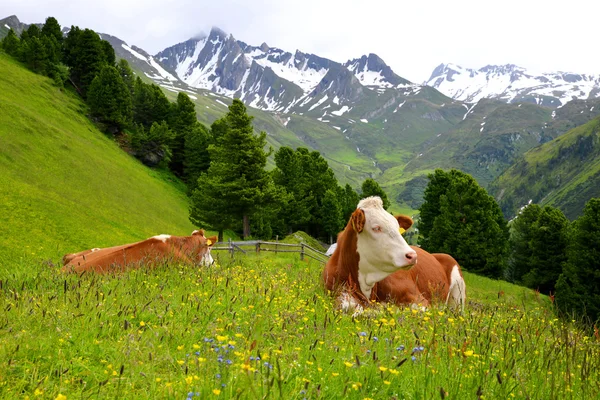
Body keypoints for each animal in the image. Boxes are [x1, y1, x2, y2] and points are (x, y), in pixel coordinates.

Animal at [322, 197, 466, 312]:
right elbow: (348, 308)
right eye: (376, 228)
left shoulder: (419, 299)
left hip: (458, 296)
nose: (412, 255)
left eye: (398, 228)